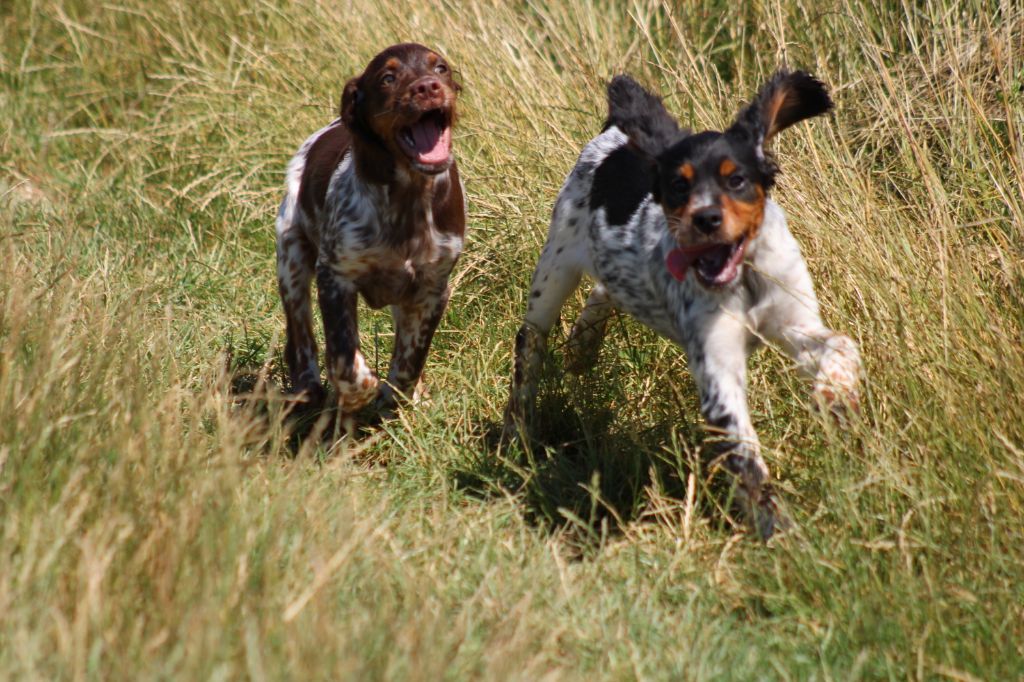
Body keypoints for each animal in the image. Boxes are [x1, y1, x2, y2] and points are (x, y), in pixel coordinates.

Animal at [274, 42, 462, 421]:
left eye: (441, 69)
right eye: (387, 78)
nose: (428, 87)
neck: (409, 195)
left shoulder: (433, 288)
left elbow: (410, 360)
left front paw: (397, 398)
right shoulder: (335, 275)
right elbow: (344, 357)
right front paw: (358, 393)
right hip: (291, 256)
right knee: (301, 336)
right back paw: (308, 388)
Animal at [507, 70, 860, 536]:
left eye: (736, 180)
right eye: (678, 185)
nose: (706, 219)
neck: (742, 279)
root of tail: (615, 135)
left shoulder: (794, 321)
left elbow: (841, 344)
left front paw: (835, 391)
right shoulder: (718, 367)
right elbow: (747, 460)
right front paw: (778, 530)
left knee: (604, 291)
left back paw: (583, 347)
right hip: (555, 268)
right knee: (529, 344)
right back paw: (518, 430)